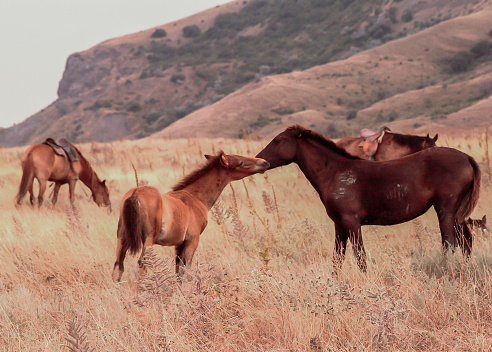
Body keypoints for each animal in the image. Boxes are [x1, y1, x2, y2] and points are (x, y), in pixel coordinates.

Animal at [111, 151, 270, 284]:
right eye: (240, 162)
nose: (264, 162)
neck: (195, 197)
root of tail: (134, 194)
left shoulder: (179, 244)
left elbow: (178, 271)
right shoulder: (192, 240)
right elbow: (186, 270)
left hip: (122, 237)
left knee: (118, 267)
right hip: (148, 239)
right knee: (141, 266)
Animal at [258, 125, 480, 274]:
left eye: (278, 140)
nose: (261, 161)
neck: (335, 173)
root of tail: (467, 158)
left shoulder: (351, 222)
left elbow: (360, 257)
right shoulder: (339, 225)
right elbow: (337, 258)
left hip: (445, 210)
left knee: (450, 244)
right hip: (457, 214)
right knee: (466, 241)